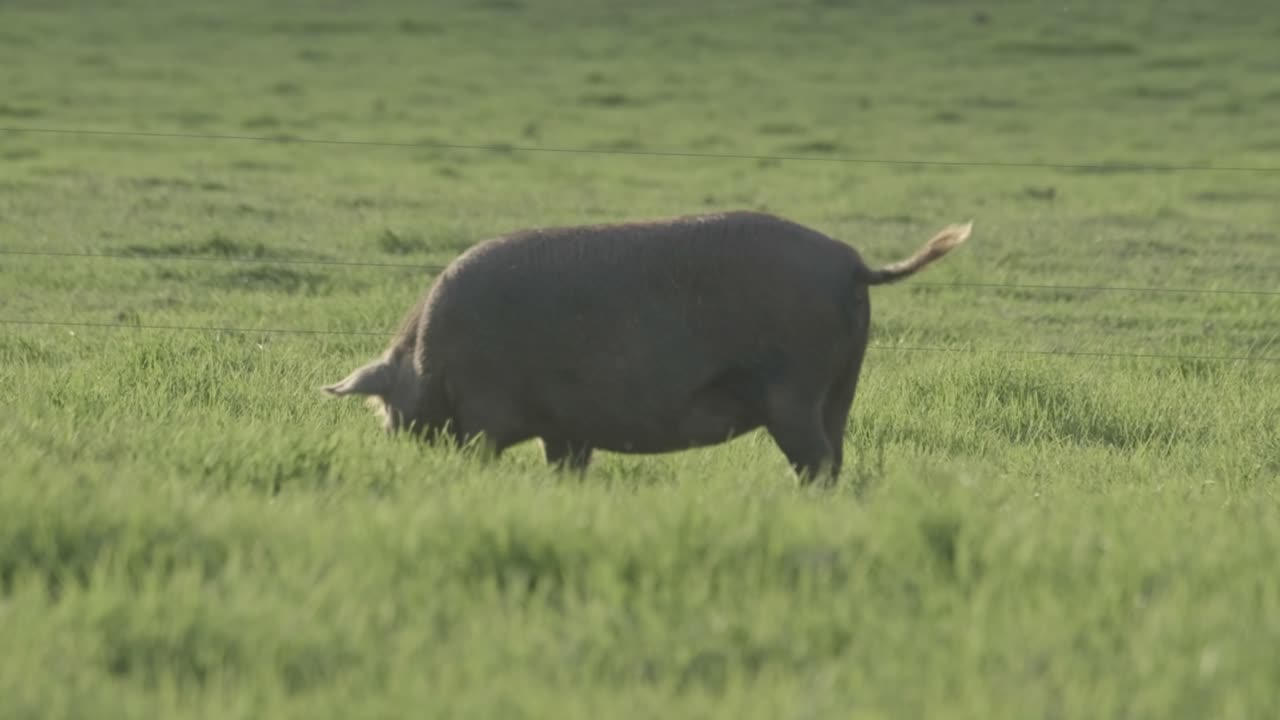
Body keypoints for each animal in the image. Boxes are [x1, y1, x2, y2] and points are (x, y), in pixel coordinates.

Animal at [324, 210, 972, 484]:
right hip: (840, 389)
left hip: (793, 391)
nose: (399, 452)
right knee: (836, 456)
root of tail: (852, 263)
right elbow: (566, 466)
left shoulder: (487, 411)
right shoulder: (566, 427)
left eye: (386, 408)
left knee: (815, 461)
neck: (428, 361)